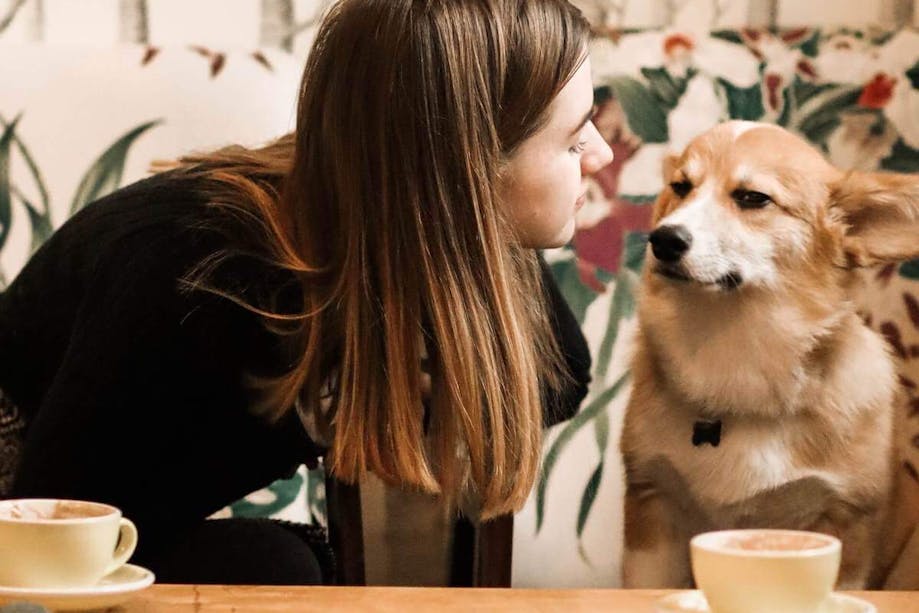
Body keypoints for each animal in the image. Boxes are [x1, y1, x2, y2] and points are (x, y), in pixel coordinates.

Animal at [620, 120, 919, 588]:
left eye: (752, 198)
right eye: (681, 187)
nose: (663, 240)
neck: (735, 350)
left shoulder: (845, 521)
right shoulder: (652, 503)